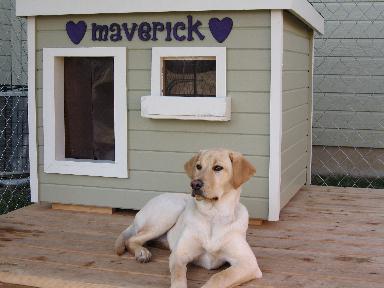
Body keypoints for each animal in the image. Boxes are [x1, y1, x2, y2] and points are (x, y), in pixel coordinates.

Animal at [115, 150, 262, 286]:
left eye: (218, 168)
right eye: (198, 166)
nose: (195, 184)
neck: (213, 215)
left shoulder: (248, 263)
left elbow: (219, 277)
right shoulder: (179, 255)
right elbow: (178, 276)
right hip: (170, 212)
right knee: (131, 239)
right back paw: (142, 252)